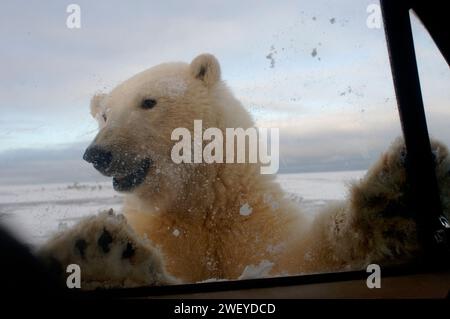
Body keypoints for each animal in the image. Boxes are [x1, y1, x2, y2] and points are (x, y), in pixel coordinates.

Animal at [38, 53, 450, 288]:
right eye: (104, 115)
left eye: (148, 101)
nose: (96, 153)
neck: (198, 201)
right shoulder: (159, 228)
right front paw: (100, 255)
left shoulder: (250, 217)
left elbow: (294, 260)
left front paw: (396, 197)